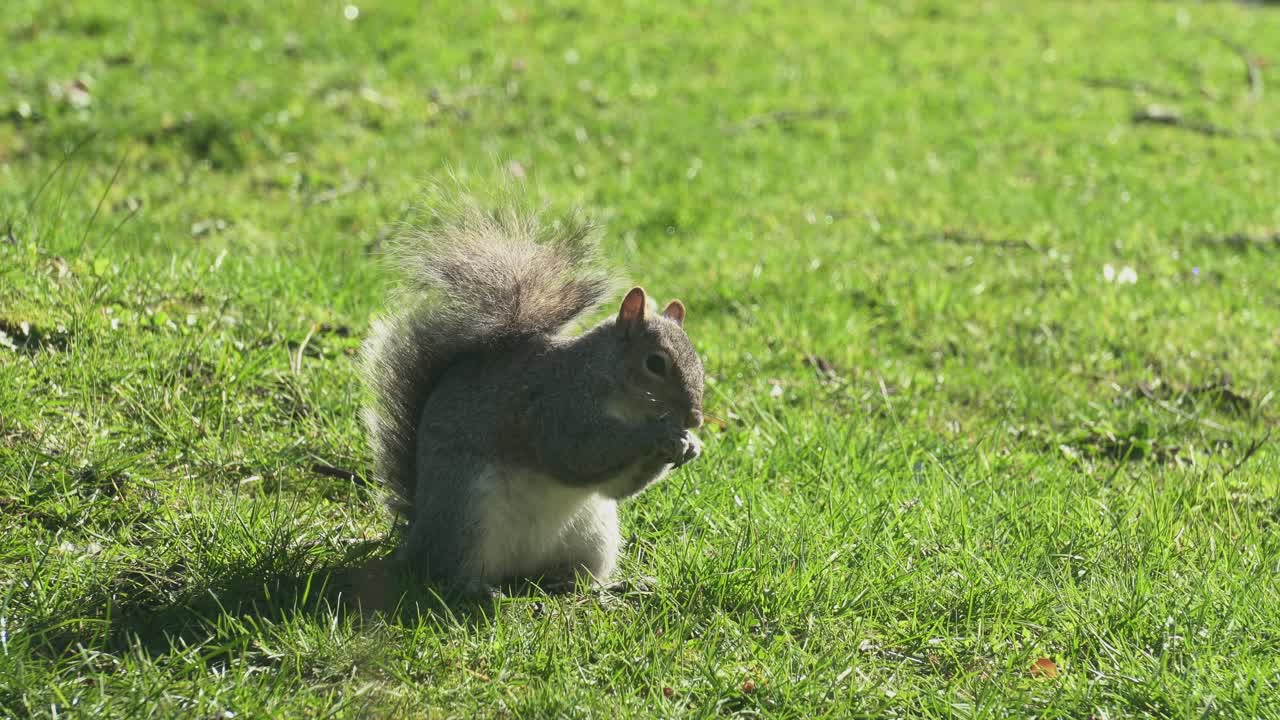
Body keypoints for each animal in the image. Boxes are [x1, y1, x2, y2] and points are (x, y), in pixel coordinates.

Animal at [360, 191, 705, 596]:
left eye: (698, 359)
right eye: (655, 363)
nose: (695, 418)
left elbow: (615, 487)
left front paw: (690, 445)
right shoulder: (555, 406)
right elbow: (576, 453)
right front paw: (658, 434)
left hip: (594, 536)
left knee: (573, 575)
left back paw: (602, 589)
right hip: (467, 513)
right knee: (448, 571)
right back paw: (476, 589)